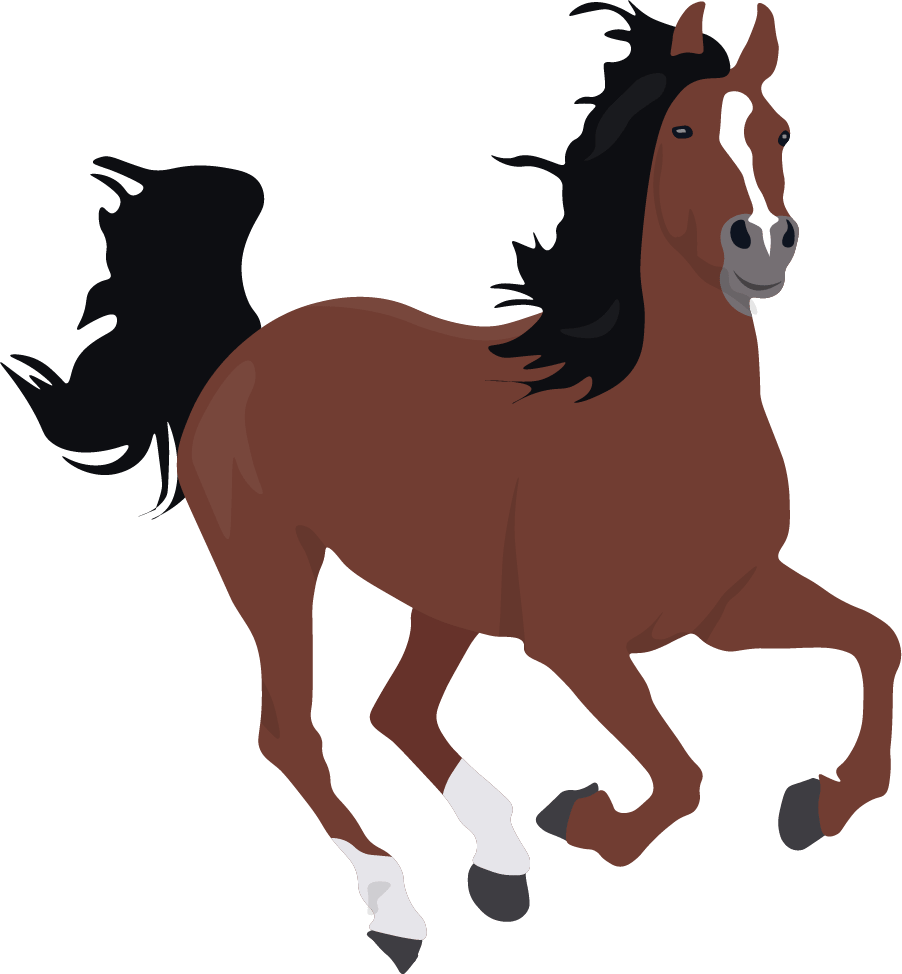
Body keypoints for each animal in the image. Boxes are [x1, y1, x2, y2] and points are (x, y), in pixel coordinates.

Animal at [3, 3, 898, 972]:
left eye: (781, 131)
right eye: (684, 131)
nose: (764, 241)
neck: (649, 422)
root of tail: (243, 350)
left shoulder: (726, 607)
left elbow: (872, 641)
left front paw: (819, 805)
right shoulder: (576, 644)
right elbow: (682, 774)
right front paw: (587, 820)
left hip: (442, 593)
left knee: (397, 710)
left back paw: (499, 863)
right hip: (270, 563)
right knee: (292, 734)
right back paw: (396, 906)